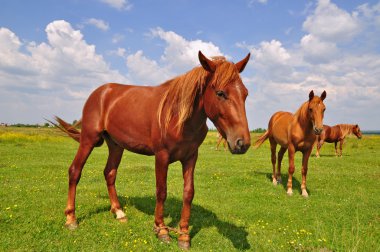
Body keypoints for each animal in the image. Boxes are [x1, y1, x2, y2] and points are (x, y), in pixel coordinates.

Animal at [52, 50, 251, 248]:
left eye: (245, 94)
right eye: (220, 93)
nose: (242, 143)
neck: (178, 116)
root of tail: (100, 93)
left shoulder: (191, 157)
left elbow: (188, 193)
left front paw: (183, 236)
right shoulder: (161, 156)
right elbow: (161, 191)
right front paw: (161, 230)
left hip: (116, 145)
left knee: (109, 173)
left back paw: (119, 212)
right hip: (88, 140)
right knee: (75, 171)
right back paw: (71, 219)